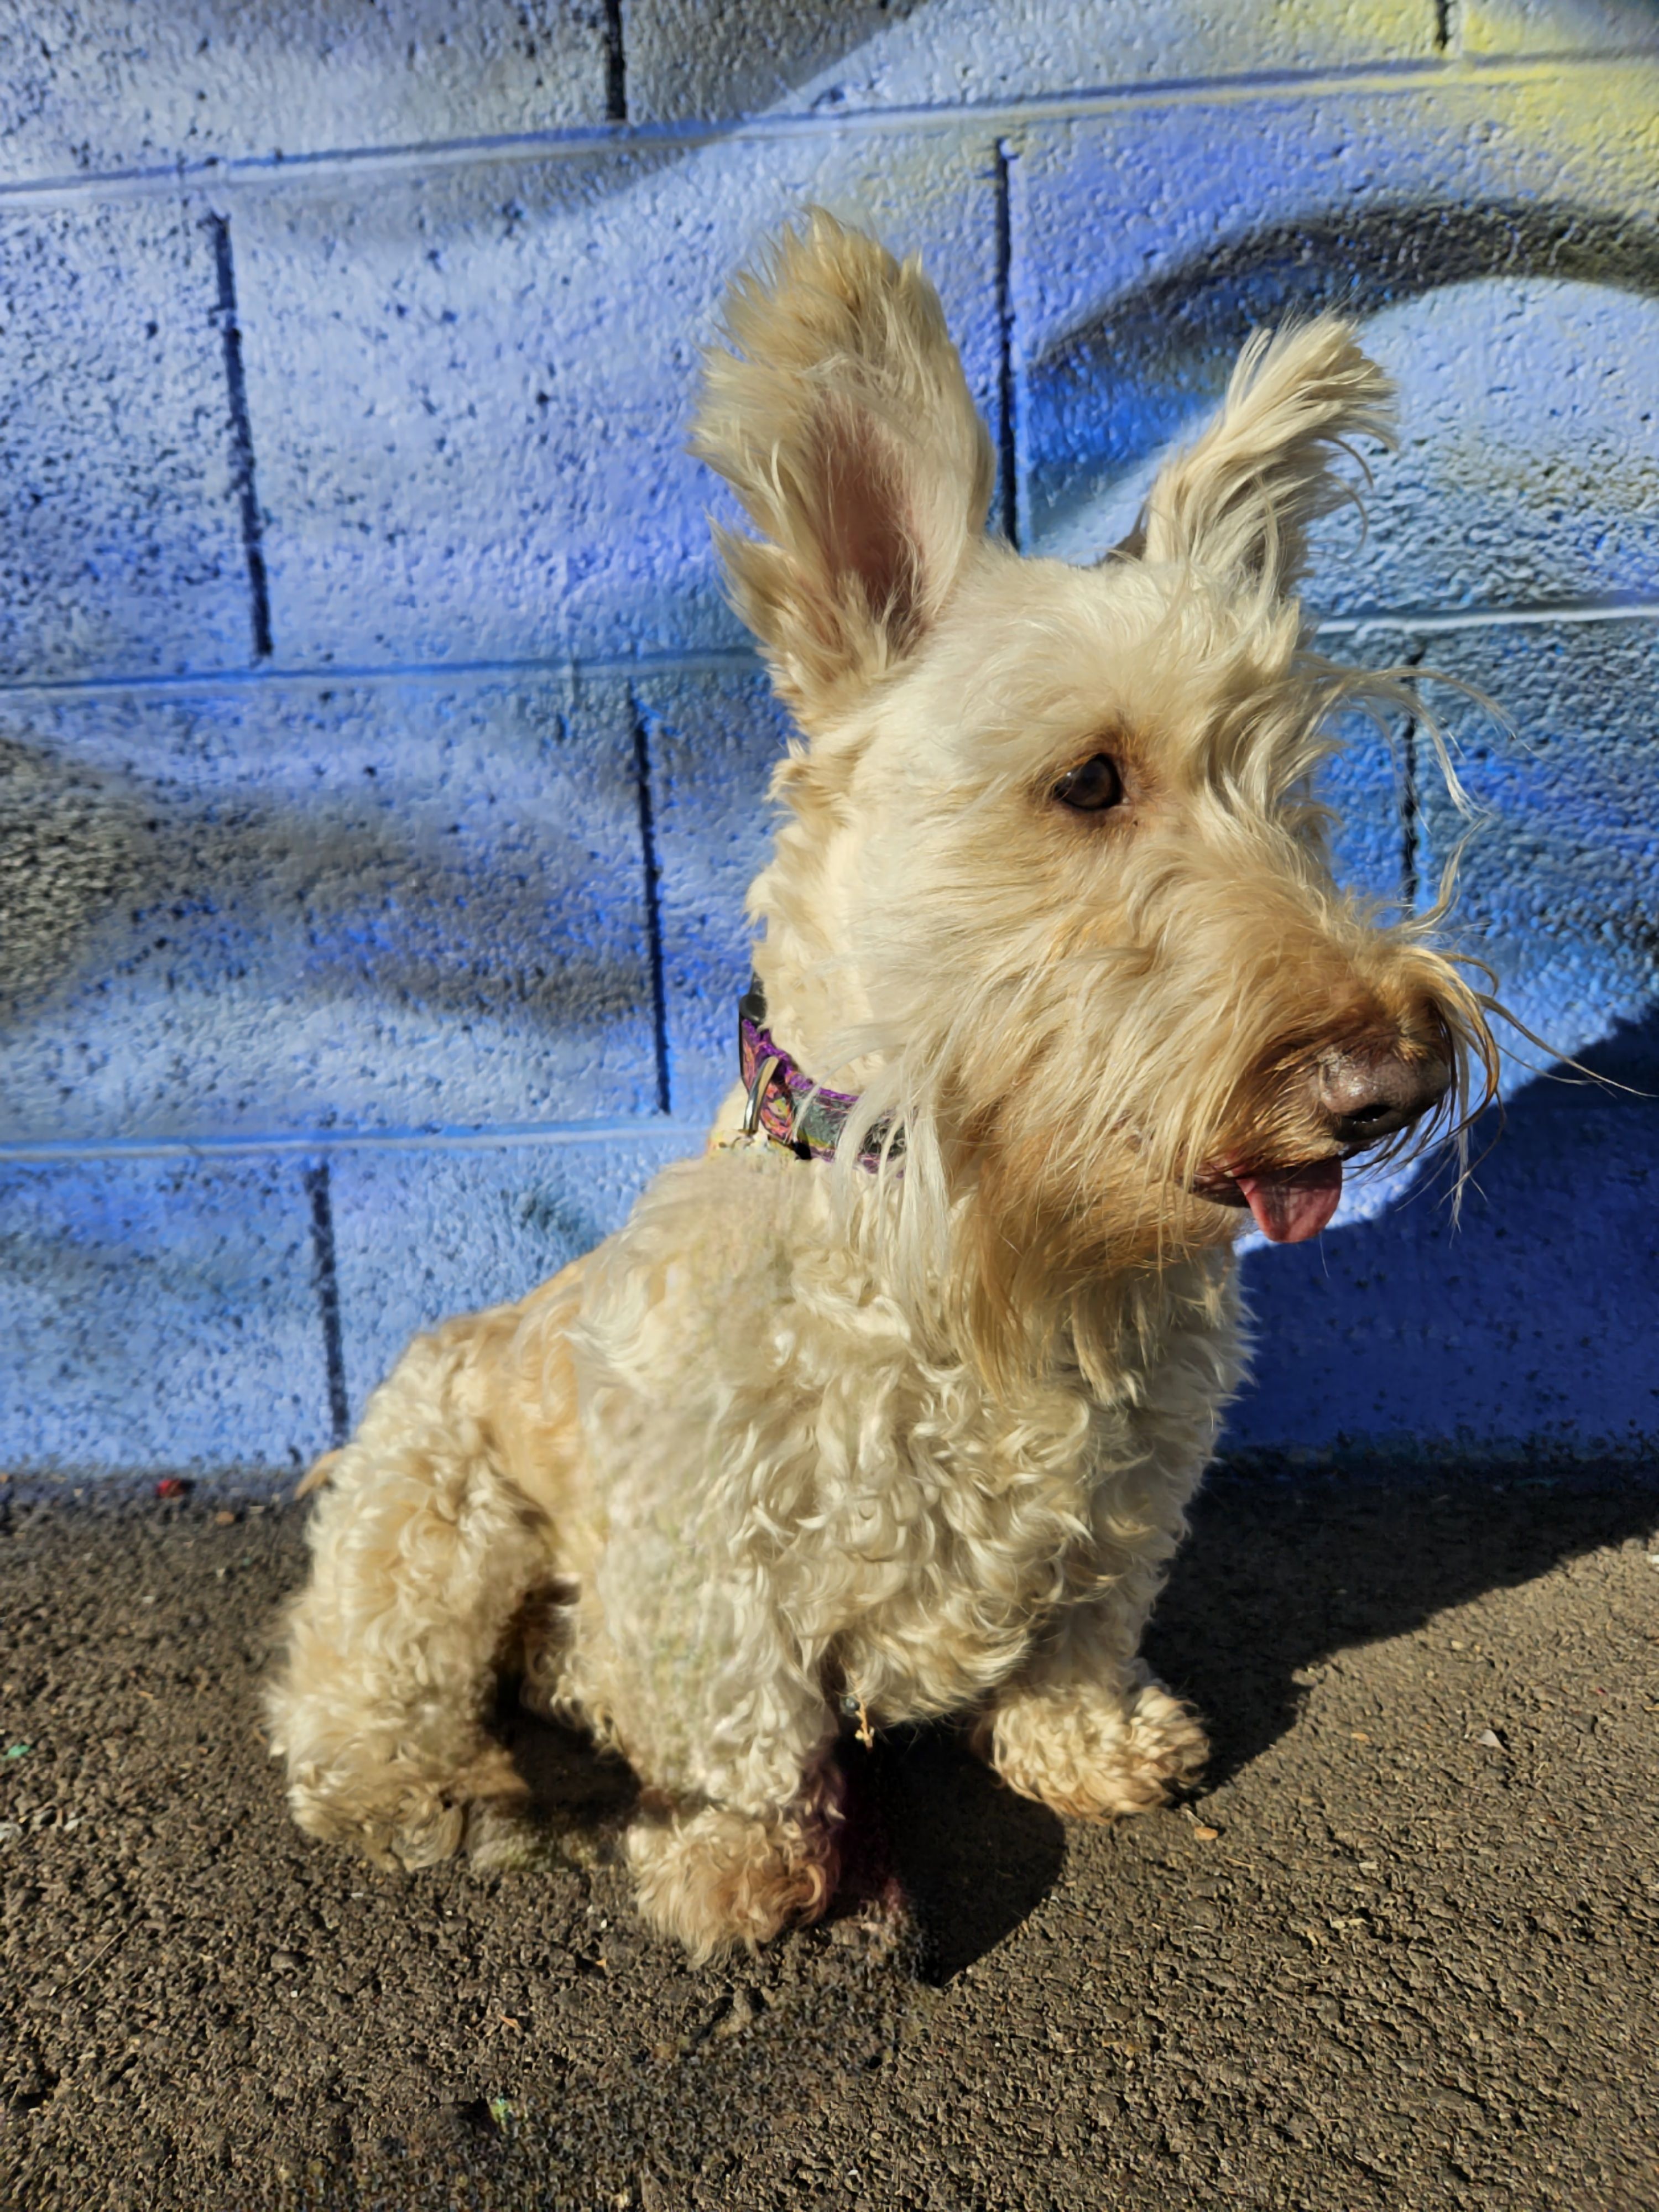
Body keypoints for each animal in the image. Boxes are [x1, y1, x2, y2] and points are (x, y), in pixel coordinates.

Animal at [267, 213, 1497, 1961]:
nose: (1388, 1078)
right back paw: (433, 1793)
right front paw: (743, 1862)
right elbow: (751, 1730)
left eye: (1293, 794)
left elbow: (1080, 1633)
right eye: (1089, 781)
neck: (957, 1222)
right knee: (354, 1687)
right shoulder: (699, 1549)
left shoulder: (1132, 1491)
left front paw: (1088, 1745)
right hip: (429, 1510)